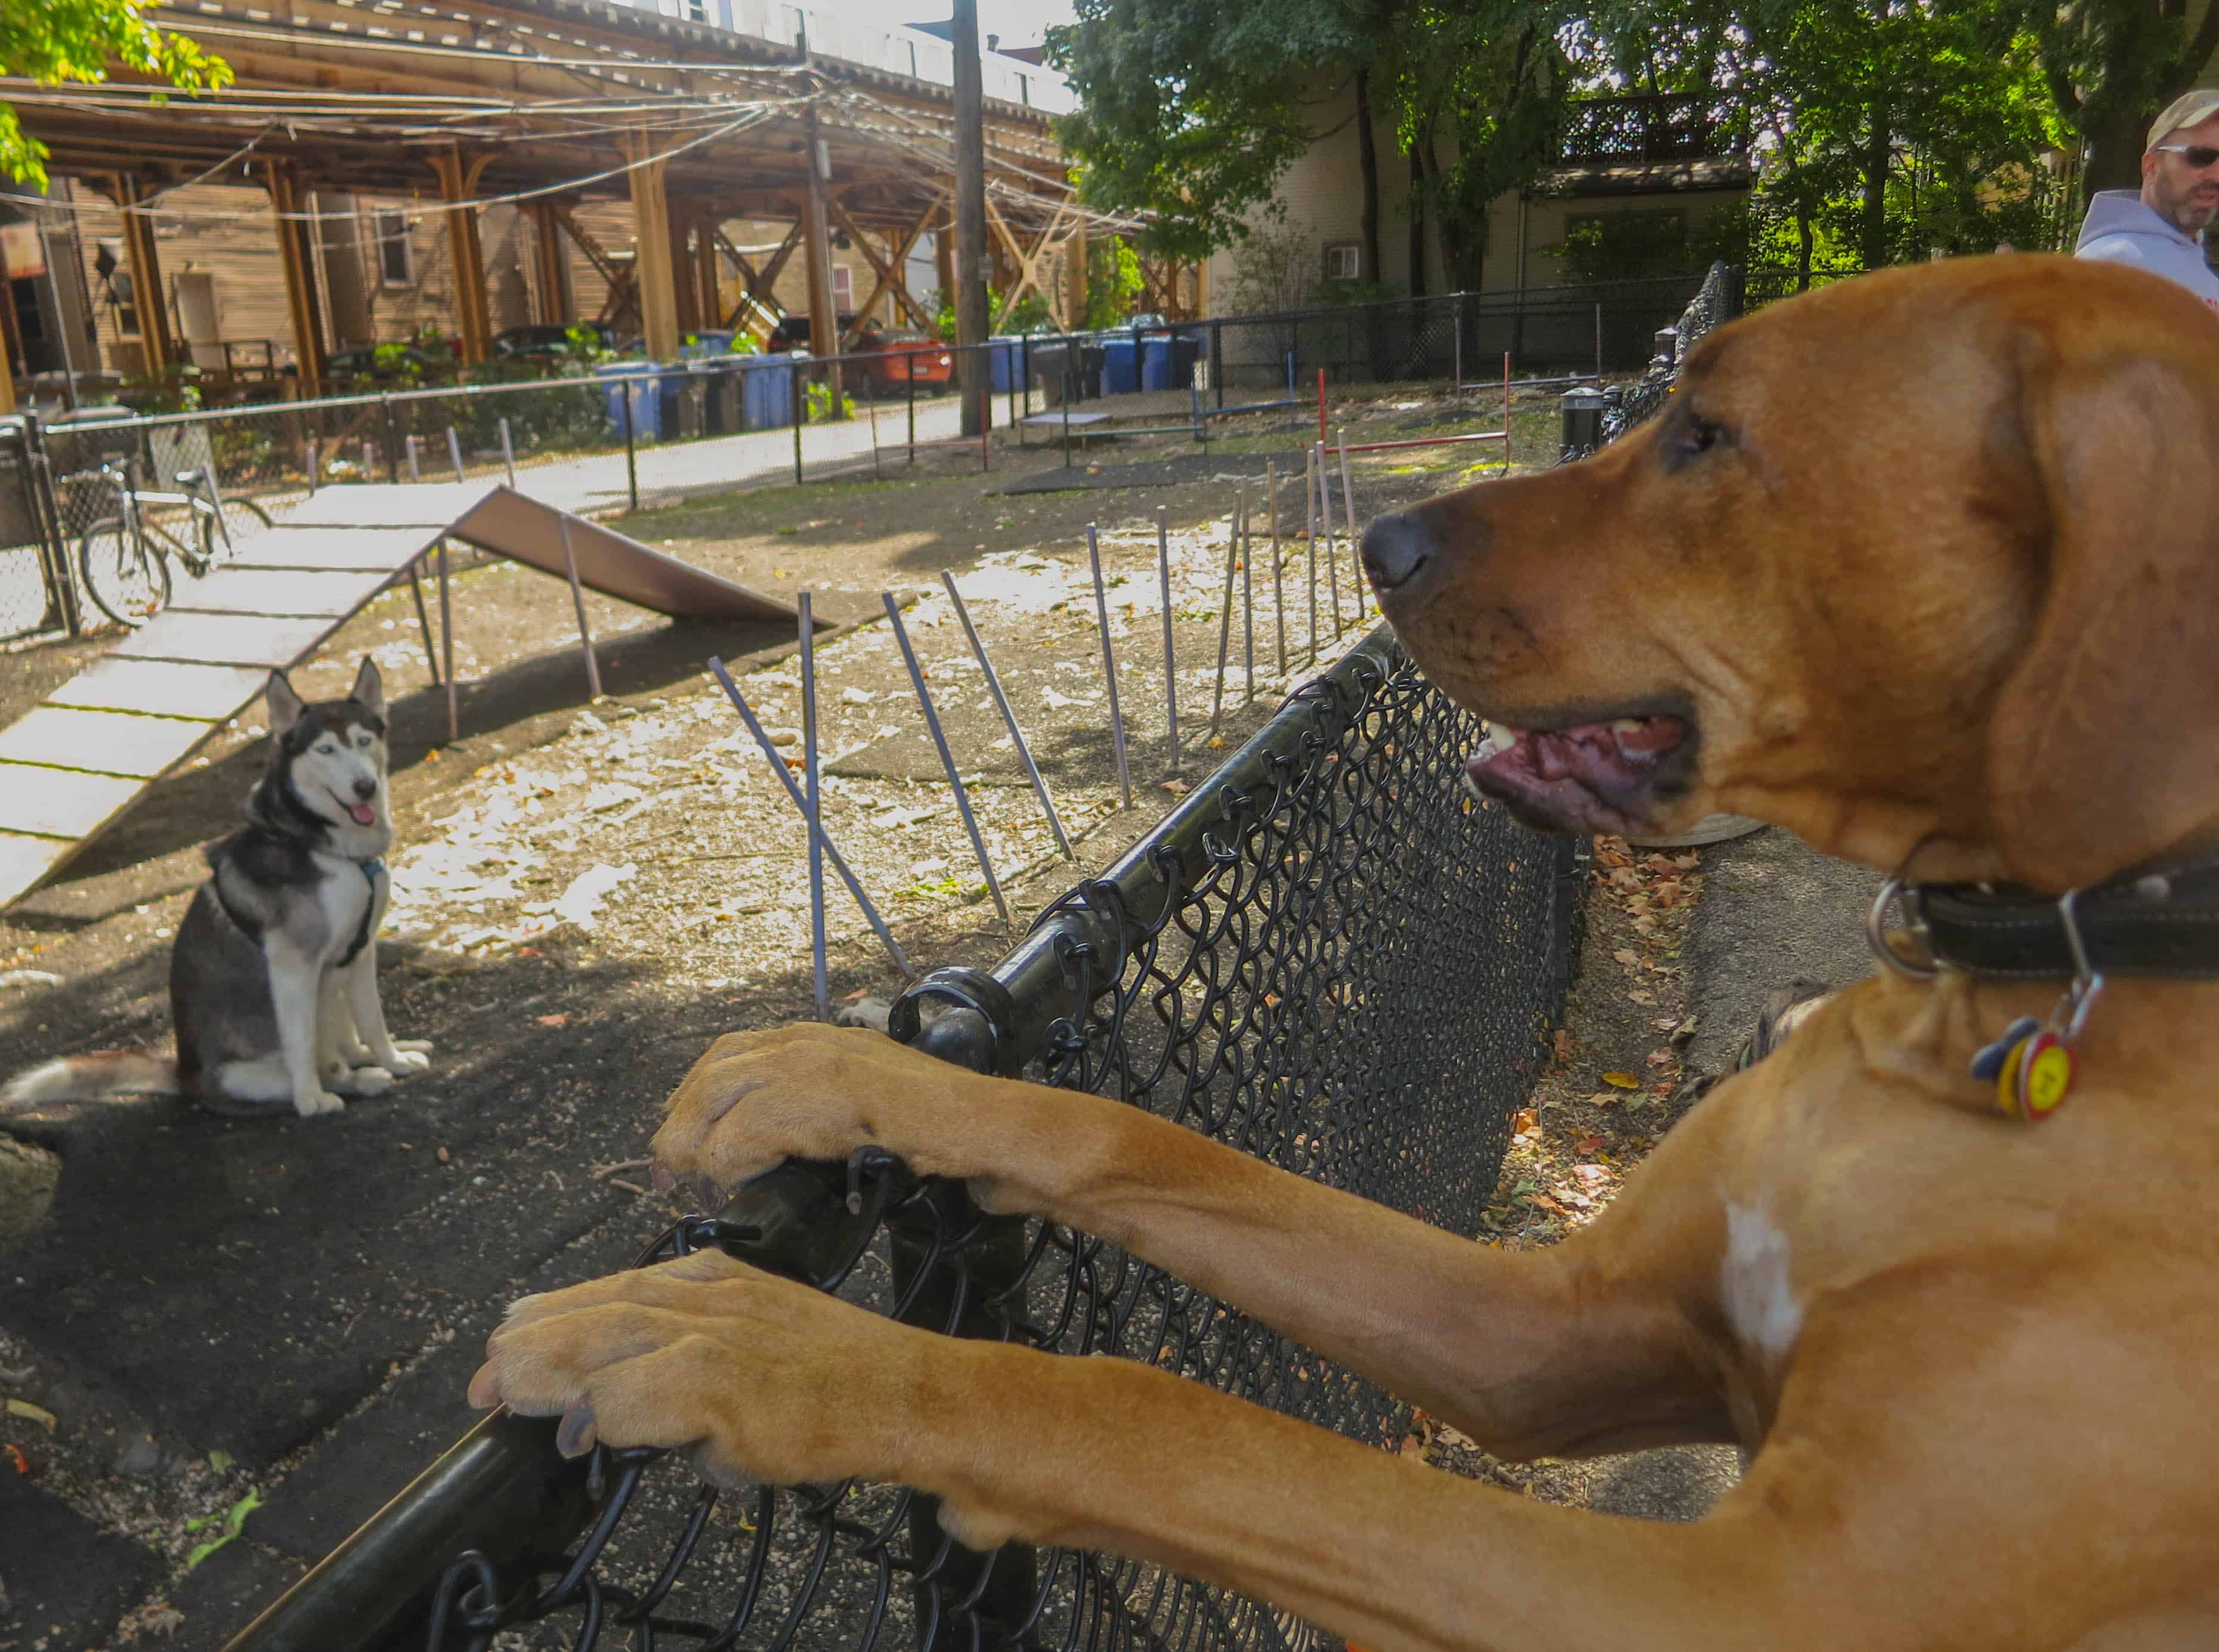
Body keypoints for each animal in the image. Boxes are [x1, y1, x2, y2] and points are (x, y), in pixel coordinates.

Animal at [0, 656, 428, 1122]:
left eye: (364, 741)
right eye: (326, 750)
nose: (365, 786)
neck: (326, 846)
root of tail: (185, 1076)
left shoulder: (360, 952)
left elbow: (373, 1020)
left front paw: (393, 1058)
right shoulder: (293, 967)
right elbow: (300, 1044)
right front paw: (310, 1101)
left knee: (345, 1045)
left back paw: (377, 1060)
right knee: (324, 1067)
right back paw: (352, 1083)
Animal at [463, 252, 2219, 1641]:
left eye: (1710, 435)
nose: (1379, 547)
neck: (2007, 996)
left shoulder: (1732, 1601)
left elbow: (1148, 1411)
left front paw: (763, 1345)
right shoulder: (1545, 1327)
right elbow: (1133, 1140)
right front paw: (834, 1071)